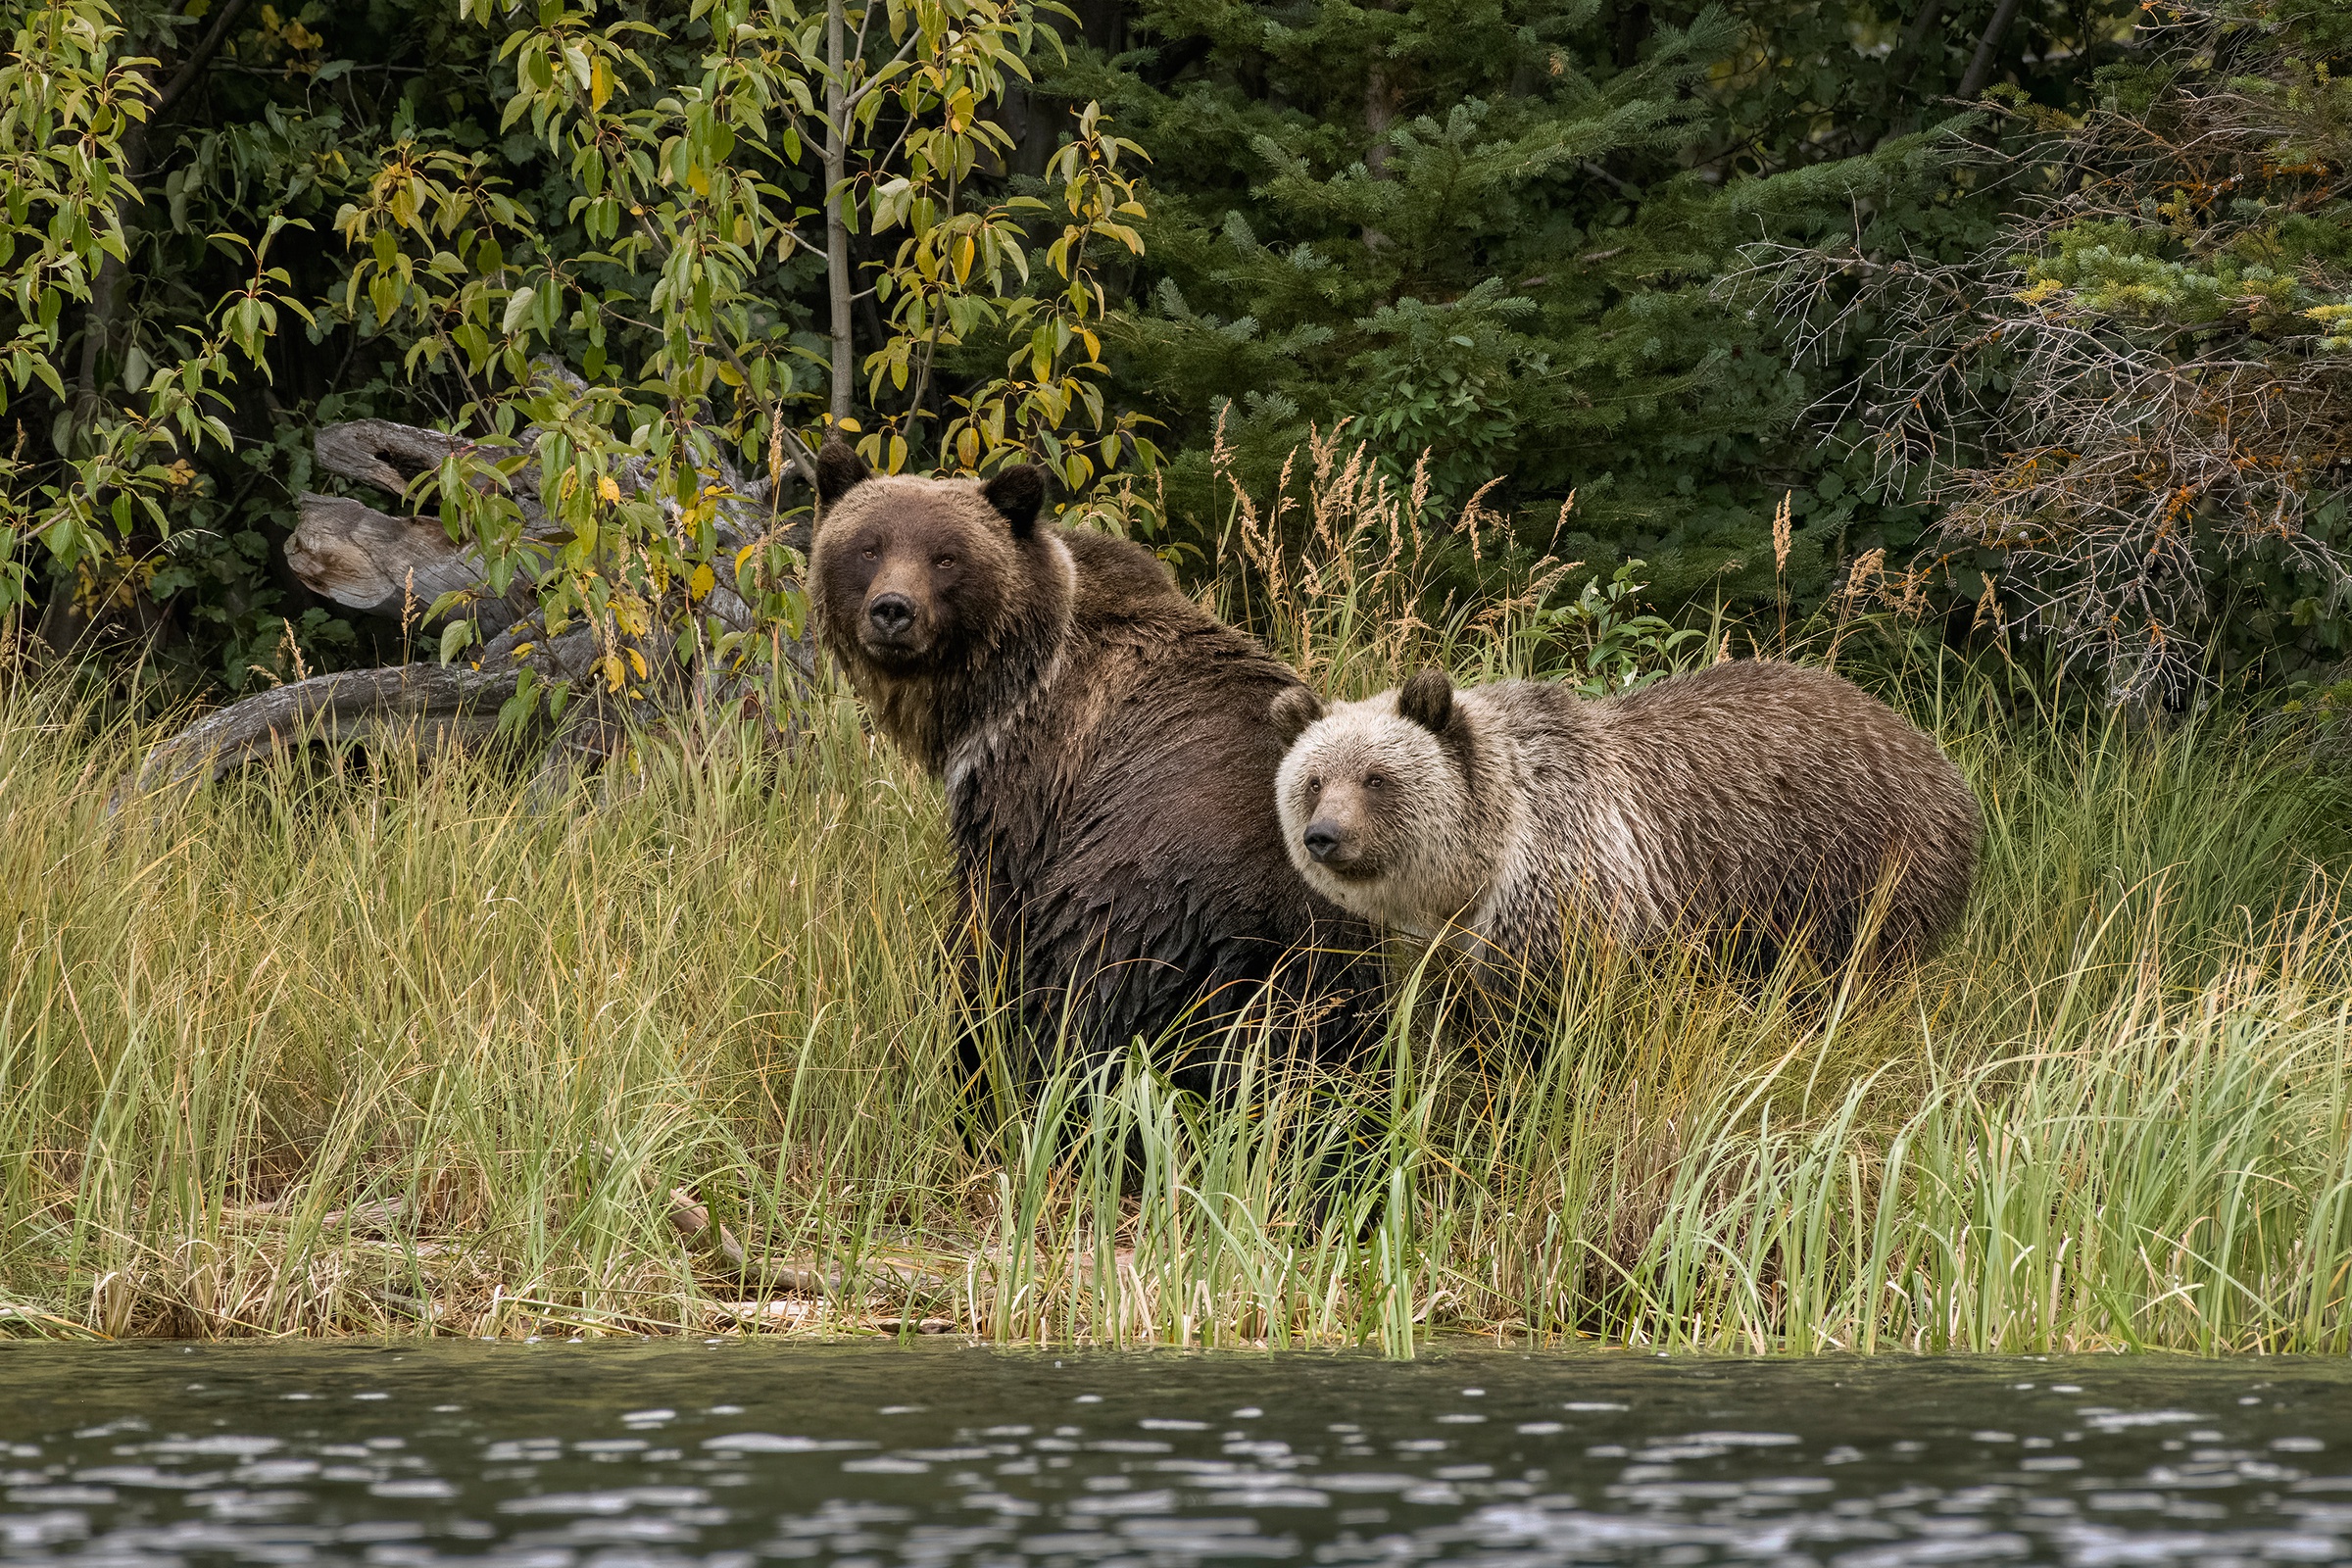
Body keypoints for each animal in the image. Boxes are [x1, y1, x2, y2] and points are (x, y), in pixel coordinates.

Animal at [804, 441, 1373, 1091]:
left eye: (945, 557)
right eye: (869, 547)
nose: (893, 611)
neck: (998, 687)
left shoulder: (1032, 780)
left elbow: (991, 919)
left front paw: (967, 1024)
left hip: (1136, 903)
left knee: (1080, 1009)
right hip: (1331, 984)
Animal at [1279, 658, 1976, 982]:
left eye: (1376, 778)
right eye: (1313, 782)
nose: (1324, 837)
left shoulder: (1570, 885)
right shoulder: (1444, 940)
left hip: (1859, 856)